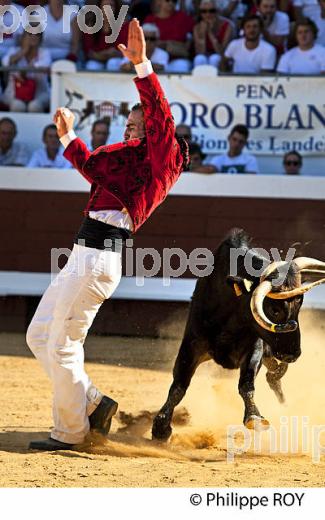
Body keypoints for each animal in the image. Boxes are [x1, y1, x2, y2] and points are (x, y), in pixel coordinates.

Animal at [151, 228, 324, 438]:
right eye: (274, 309)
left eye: (299, 304)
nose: (293, 353)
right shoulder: (191, 345)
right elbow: (179, 385)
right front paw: (161, 426)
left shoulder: (254, 349)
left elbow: (246, 384)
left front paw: (254, 417)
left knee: (274, 376)